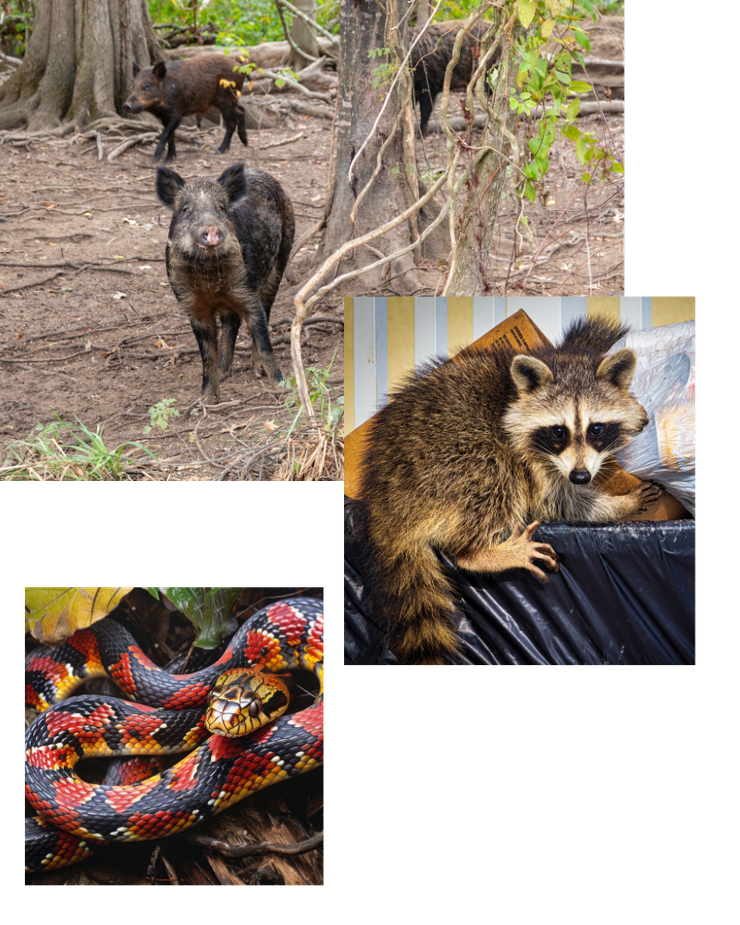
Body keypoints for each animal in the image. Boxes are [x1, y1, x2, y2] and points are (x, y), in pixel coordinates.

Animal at [355, 317, 662, 667]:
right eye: (559, 431)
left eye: (596, 429)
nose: (581, 476)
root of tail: (381, 500)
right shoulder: (529, 458)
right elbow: (558, 503)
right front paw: (622, 504)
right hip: (445, 464)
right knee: (494, 472)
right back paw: (480, 553)